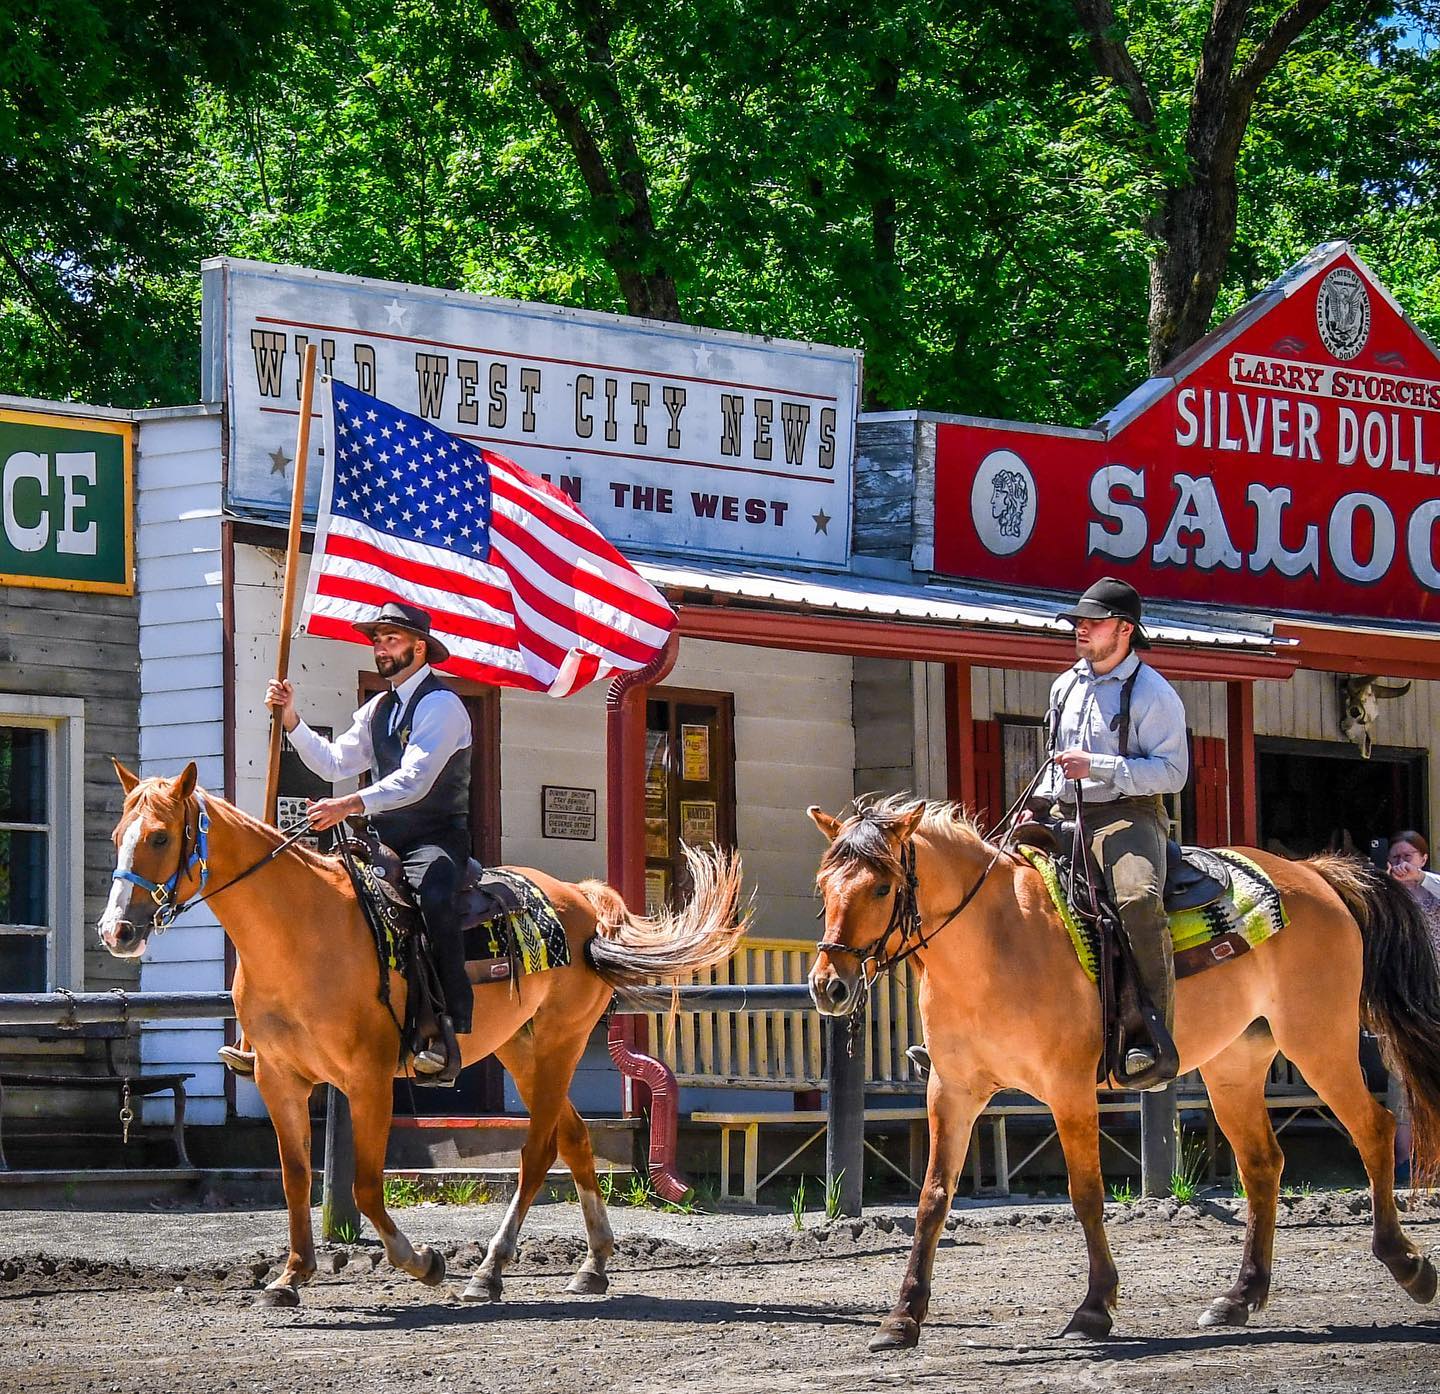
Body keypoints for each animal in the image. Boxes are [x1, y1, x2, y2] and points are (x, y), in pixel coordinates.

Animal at [97, 760, 748, 1307]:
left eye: (160, 837)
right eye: (117, 836)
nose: (116, 931)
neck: (300, 930)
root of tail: (583, 900)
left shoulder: (368, 1079)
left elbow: (363, 1187)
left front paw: (423, 1262)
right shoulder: (281, 1079)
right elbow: (296, 1177)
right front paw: (291, 1275)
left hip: (560, 1042)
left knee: (538, 1151)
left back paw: (489, 1270)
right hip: (522, 1050)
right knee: (575, 1138)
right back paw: (592, 1264)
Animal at [806, 794, 1440, 1347]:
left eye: (882, 886)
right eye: (823, 886)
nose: (827, 987)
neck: (993, 941)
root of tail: (1313, 873)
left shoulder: (1068, 1089)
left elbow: (1085, 1191)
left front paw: (1093, 1308)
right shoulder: (952, 1090)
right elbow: (934, 1197)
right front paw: (902, 1318)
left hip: (1319, 1041)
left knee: (1374, 1128)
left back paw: (1407, 1265)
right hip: (1235, 1065)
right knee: (1263, 1164)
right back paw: (1239, 1296)